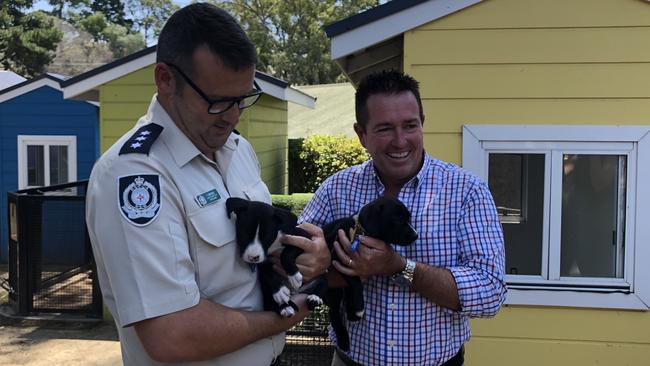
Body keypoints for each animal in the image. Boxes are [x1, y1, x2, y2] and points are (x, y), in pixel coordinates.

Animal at [322, 194, 418, 352]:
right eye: (397, 218)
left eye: (408, 217)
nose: (416, 235)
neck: (361, 231)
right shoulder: (339, 257)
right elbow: (355, 282)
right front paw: (359, 307)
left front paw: (355, 310)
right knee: (334, 313)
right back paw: (345, 337)